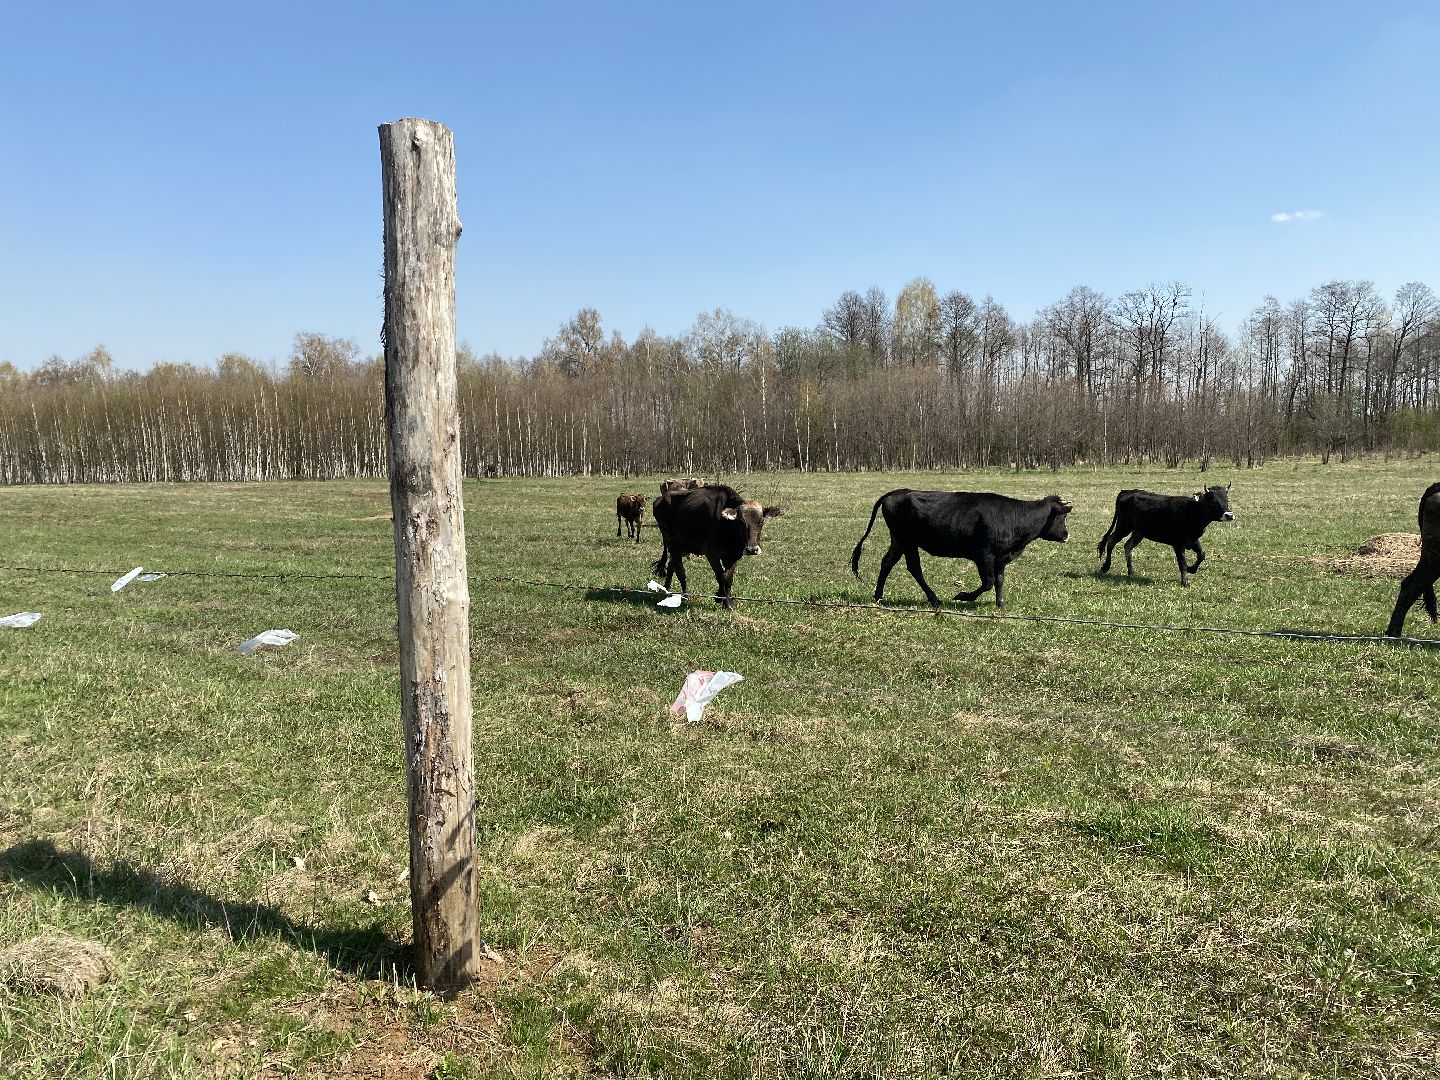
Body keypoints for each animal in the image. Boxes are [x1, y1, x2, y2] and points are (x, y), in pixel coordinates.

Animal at [650, 484, 783, 607]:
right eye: (741, 522)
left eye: (761, 522)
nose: (752, 549)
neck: (727, 526)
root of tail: (660, 499)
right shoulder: (712, 554)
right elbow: (721, 576)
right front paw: (725, 601)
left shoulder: (732, 556)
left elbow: (728, 578)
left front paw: (723, 599)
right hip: (672, 543)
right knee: (680, 571)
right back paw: (685, 596)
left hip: (681, 547)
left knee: (671, 566)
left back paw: (666, 589)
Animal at [850, 489, 1073, 609]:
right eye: (1062, 516)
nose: (1066, 535)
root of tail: (897, 492)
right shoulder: (983, 555)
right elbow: (988, 582)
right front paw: (963, 596)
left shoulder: (1001, 558)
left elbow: (999, 581)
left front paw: (1000, 603)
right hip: (908, 541)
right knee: (914, 568)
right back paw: (934, 598)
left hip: (899, 541)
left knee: (887, 563)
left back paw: (879, 596)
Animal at [1096, 485, 1234, 586]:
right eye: (1213, 502)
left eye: (1227, 500)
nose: (1229, 515)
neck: (1191, 511)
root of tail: (1126, 492)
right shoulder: (1178, 544)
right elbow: (1182, 563)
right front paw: (1185, 582)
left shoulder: (1193, 540)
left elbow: (1201, 555)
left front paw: (1192, 569)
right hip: (1123, 526)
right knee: (1111, 540)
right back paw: (1106, 567)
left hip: (1138, 532)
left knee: (1127, 545)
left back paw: (1131, 571)